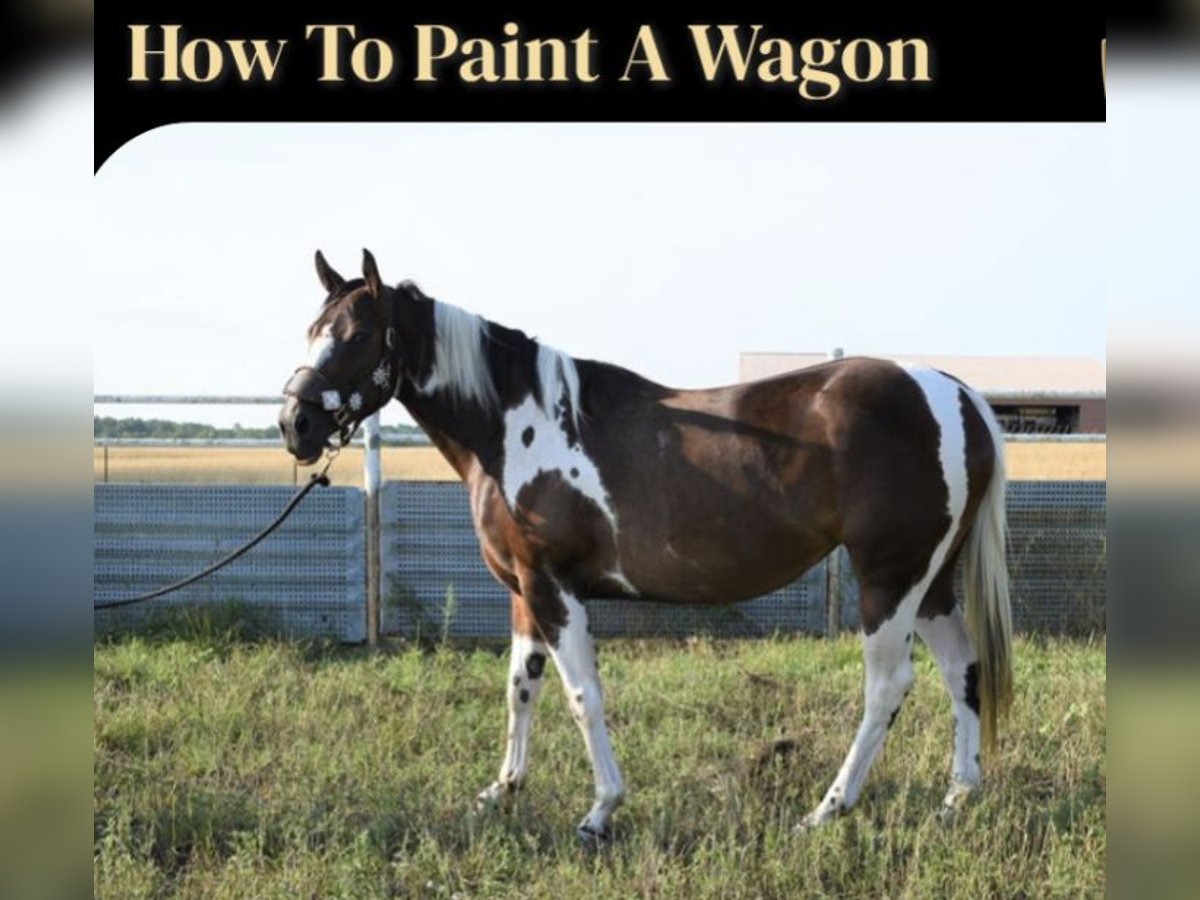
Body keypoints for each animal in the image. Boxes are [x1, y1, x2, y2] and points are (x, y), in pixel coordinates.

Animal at [279, 249, 1013, 844]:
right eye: (313, 332)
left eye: (359, 335)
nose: (296, 423)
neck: (516, 427)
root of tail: (954, 394)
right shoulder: (523, 588)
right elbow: (521, 689)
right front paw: (501, 793)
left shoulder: (555, 587)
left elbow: (583, 695)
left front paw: (599, 812)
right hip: (930, 582)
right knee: (962, 670)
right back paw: (957, 799)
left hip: (888, 579)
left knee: (888, 686)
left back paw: (826, 810)